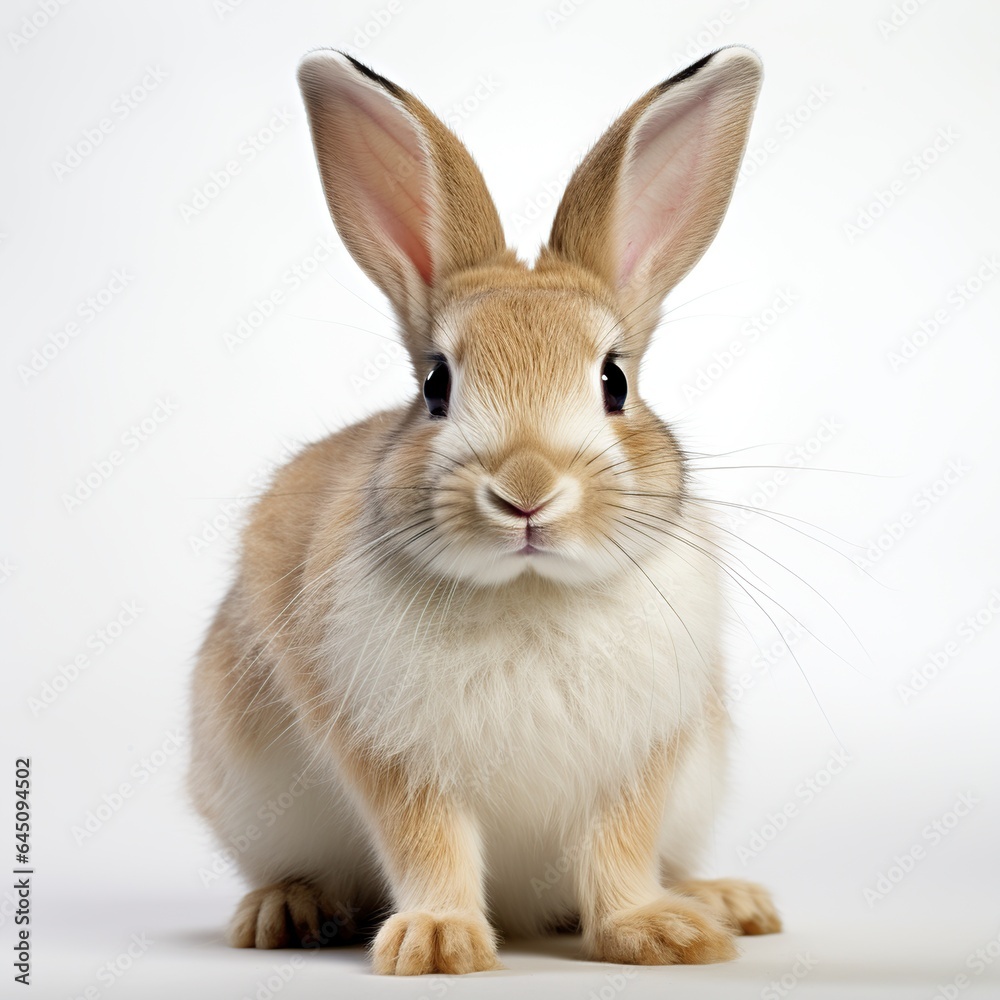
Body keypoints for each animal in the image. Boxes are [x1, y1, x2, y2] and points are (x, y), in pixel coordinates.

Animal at [188, 43, 780, 972]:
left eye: (615, 381)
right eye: (437, 384)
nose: (526, 491)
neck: (526, 591)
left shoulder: (639, 761)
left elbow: (620, 849)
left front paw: (661, 935)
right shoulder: (394, 756)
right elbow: (428, 842)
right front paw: (436, 944)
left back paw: (724, 901)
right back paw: (283, 911)